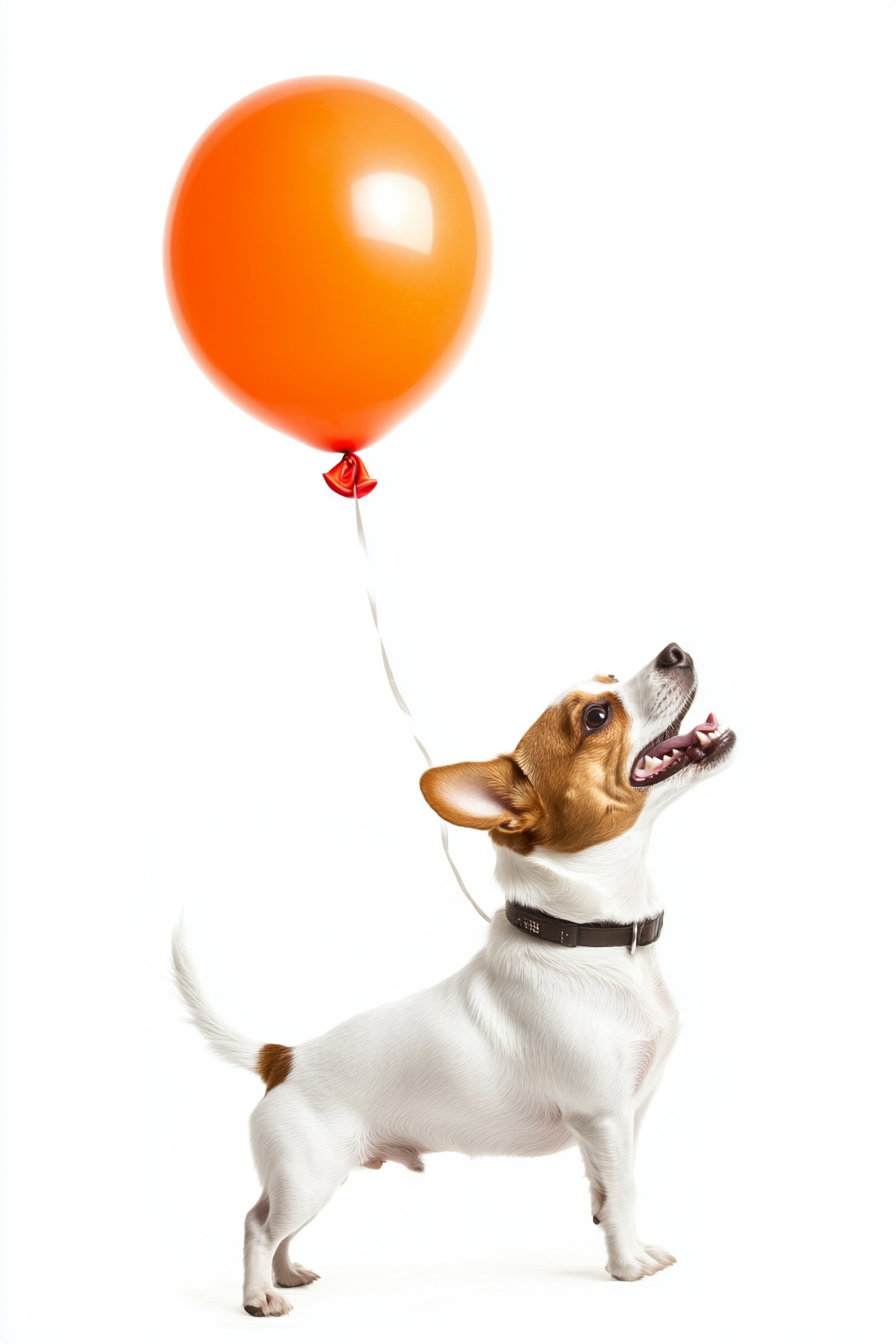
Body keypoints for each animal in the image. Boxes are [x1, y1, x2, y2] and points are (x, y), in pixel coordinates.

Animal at [173, 639, 736, 1311]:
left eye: (607, 677)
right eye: (596, 717)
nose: (674, 650)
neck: (589, 941)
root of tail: (282, 1057)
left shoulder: (628, 1118)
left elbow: (608, 1192)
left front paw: (632, 1248)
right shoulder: (603, 1117)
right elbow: (622, 1195)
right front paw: (627, 1267)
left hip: (310, 1180)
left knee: (278, 1228)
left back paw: (287, 1275)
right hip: (308, 1175)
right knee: (258, 1224)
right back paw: (260, 1296)